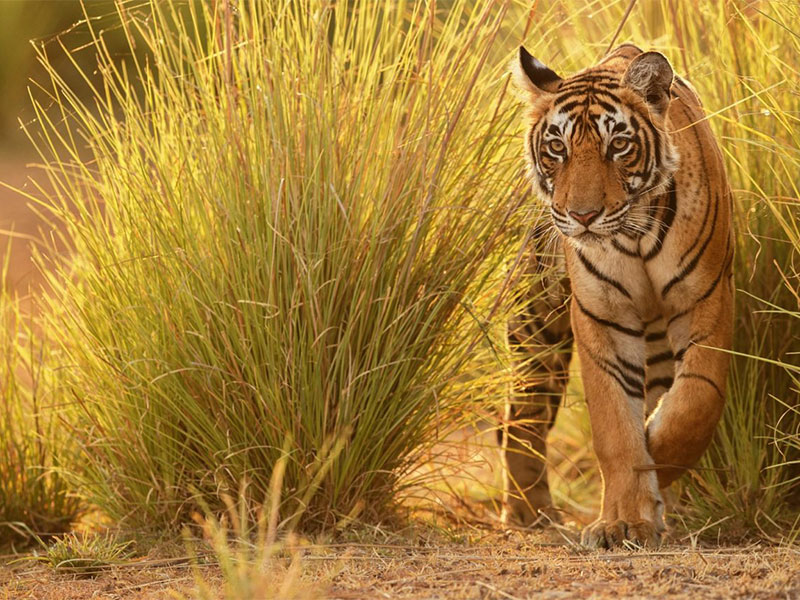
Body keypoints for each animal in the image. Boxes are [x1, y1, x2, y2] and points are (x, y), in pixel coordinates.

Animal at [502, 43, 734, 548]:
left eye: (619, 146)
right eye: (557, 148)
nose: (582, 215)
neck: (635, 235)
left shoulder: (704, 300)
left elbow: (693, 404)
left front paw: (655, 465)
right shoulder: (602, 315)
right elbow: (614, 425)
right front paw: (623, 521)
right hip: (536, 327)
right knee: (521, 418)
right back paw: (531, 513)